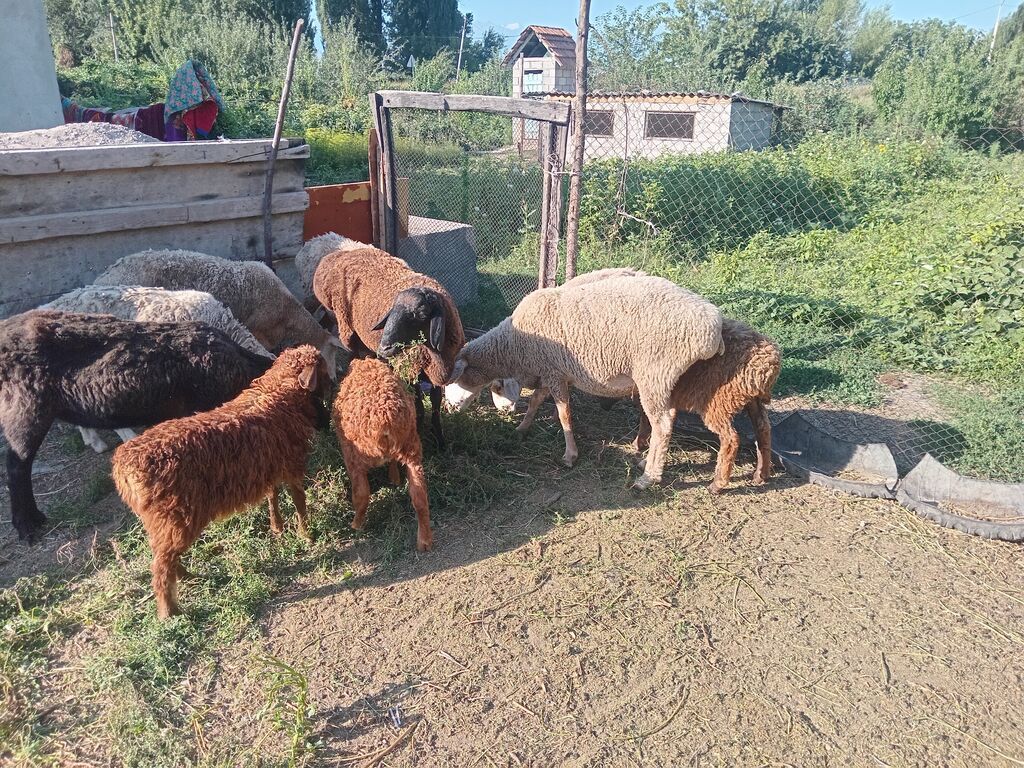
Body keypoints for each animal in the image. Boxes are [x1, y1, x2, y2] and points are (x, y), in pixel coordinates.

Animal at [111, 345, 330, 619]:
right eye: (323, 370)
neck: (277, 394)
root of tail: (123, 468)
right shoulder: (292, 464)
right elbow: (299, 501)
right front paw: (306, 535)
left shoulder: (268, 464)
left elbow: (273, 495)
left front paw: (277, 527)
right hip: (174, 515)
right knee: (161, 565)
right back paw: (170, 610)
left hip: (162, 522)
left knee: (162, 554)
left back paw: (185, 576)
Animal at [312, 246, 465, 448]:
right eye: (392, 310)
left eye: (422, 314)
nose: (384, 347)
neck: (433, 355)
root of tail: (336, 255)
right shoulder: (410, 369)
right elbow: (418, 402)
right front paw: (418, 429)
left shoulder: (436, 370)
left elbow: (435, 403)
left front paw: (439, 439)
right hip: (347, 329)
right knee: (354, 355)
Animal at [331, 357, 433, 553]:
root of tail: (385, 420)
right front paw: (395, 479)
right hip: (412, 448)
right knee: (419, 496)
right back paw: (424, 541)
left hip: (355, 456)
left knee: (362, 494)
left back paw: (356, 524)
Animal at [444, 273, 724, 489]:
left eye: (454, 379)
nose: (449, 408)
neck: (514, 344)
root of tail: (713, 327)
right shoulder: (549, 372)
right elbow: (535, 401)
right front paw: (521, 429)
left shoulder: (555, 374)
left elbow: (564, 415)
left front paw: (570, 455)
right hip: (664, 380)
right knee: (667, 419)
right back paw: (647, 460)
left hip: (654, 373)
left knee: (663, 425)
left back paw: (648, 478)